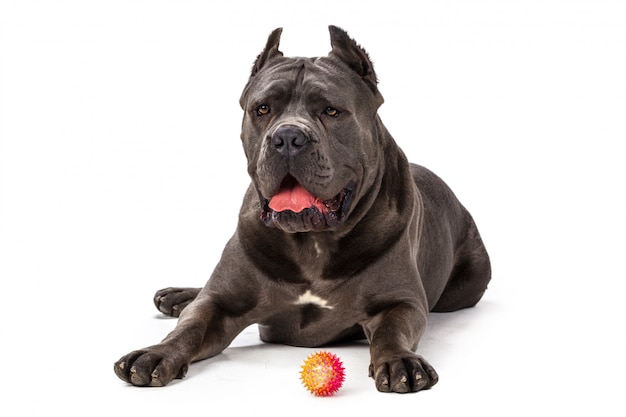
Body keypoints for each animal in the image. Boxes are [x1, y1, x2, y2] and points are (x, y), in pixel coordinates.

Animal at [114, 26, 490, 394]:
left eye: (331, 111)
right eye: (262, 109)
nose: (288, 138)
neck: (312, 241)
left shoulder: (400, 302)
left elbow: (392, 330)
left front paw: (400, 360)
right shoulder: (221, 303)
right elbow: (192, 323)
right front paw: (156, 353)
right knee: (199, 297)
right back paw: (179, 297)